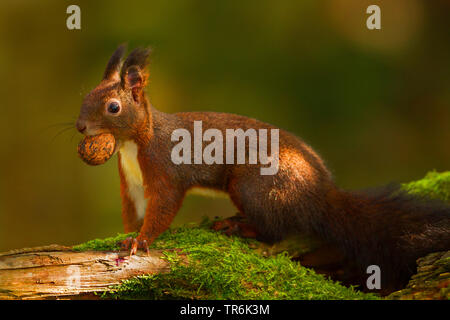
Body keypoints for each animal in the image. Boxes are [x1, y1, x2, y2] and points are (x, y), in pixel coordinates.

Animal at [77, 45, 450, 292]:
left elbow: (163, 207)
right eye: (84, 97)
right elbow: (135, 210)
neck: (132, 143)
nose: (80, 126)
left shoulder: (165, 169)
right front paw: (127, 234)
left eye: (113, 107)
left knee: (276, 230)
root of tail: (320, 193)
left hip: (254, 185)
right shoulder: (131, 182)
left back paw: (241, 227)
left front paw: (140, 241)